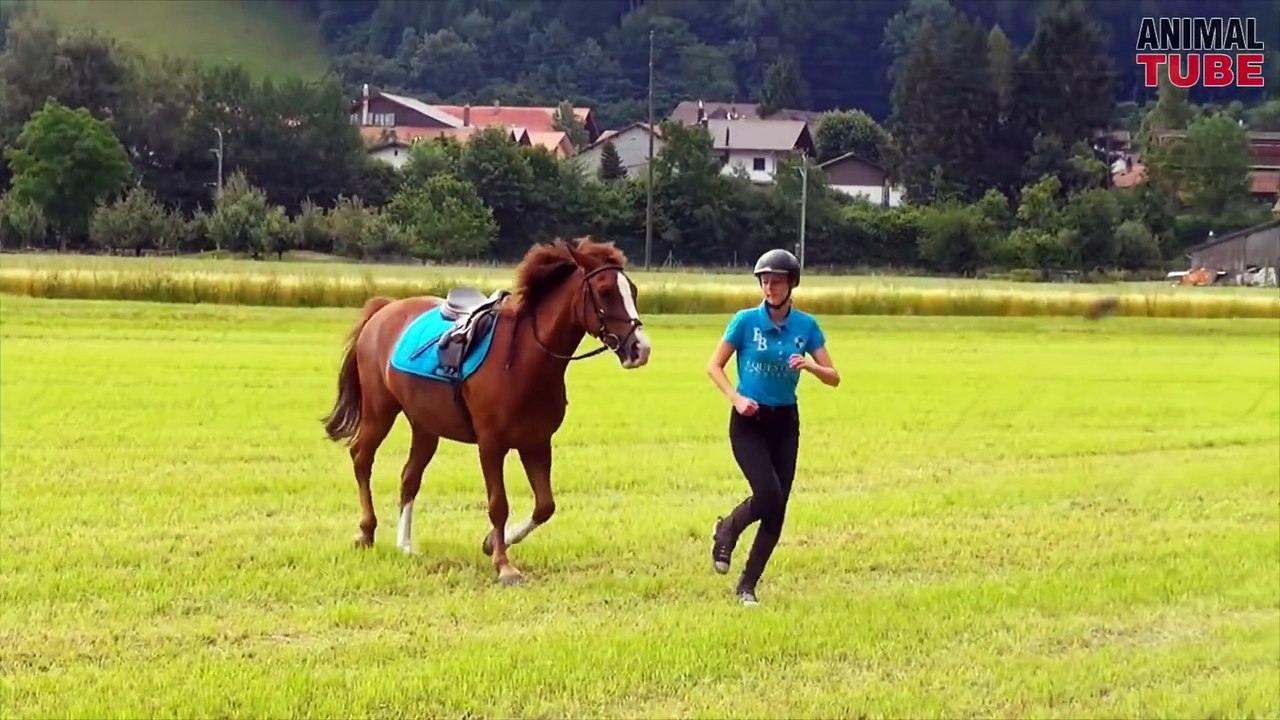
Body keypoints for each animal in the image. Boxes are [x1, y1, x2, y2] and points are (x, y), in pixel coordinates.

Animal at [320, 237, 652, 585]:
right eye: (605, 291)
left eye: (632, 290)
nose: (640, 349)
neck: (525, 359)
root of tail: (384, 308)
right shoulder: (491, 445)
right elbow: (498, 504)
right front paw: (504, 565)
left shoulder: (536, 443)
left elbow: (544, 506)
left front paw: (492, 542)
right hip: (379, 411)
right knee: (361, 458)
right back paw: (366, 532)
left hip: (425, 426)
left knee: (409, 477)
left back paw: (405, 544)